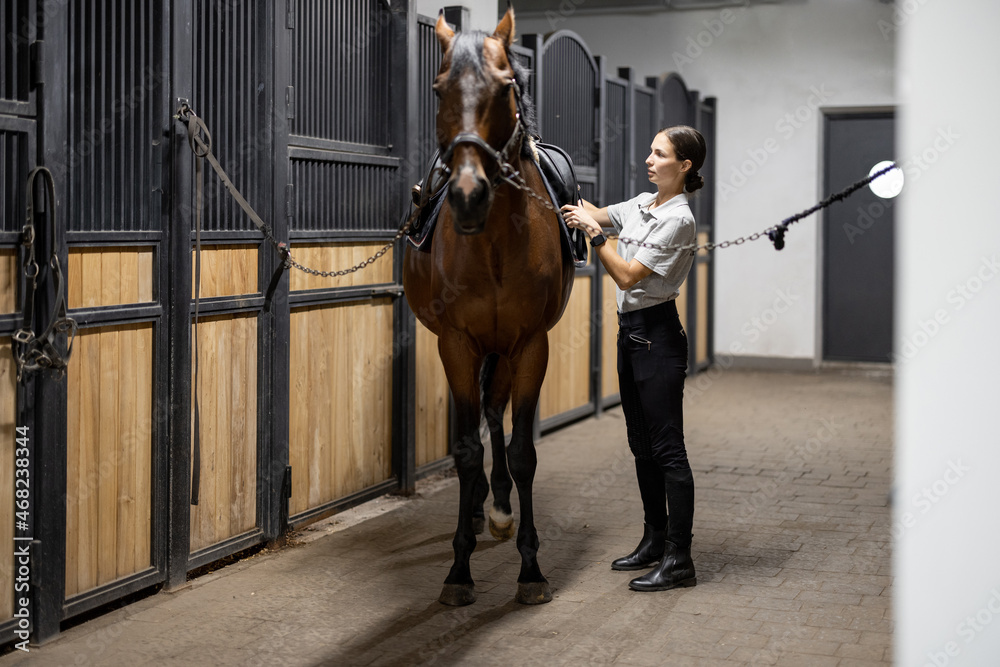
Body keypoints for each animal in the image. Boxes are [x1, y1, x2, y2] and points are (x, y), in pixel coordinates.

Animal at [402, 6, 576, 612]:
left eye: (505, 87)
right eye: (438, 88)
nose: (468, 195)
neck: (498, 244)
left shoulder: (530, 344)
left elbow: (521, 451)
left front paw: (530, 567)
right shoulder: (456, 343)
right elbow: (462, 451)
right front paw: (459, 571)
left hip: (504, 351)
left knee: (496, 417)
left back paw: (497, 508)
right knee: (482, 420)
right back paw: (481, 510)